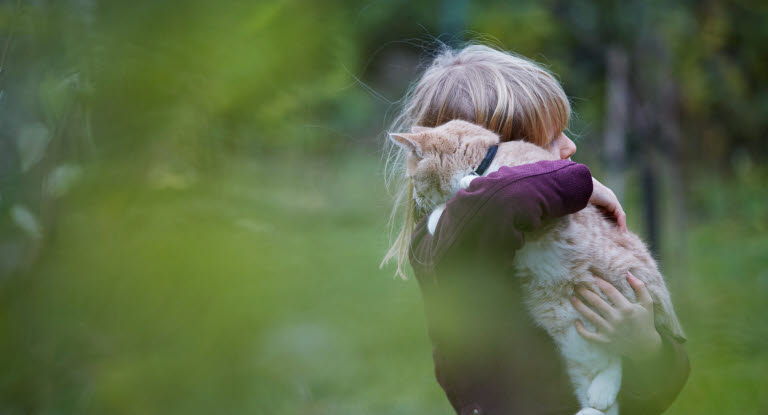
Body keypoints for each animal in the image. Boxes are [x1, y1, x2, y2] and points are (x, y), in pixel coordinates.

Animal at [390, 118, 684, 415]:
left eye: (414, 178)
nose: (418, 201)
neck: (487, 159)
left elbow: (466, 191)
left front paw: (453, 197)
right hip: (574, 340)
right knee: (604, 382)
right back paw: (595, 401)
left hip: (621, 294)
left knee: (620, 352)